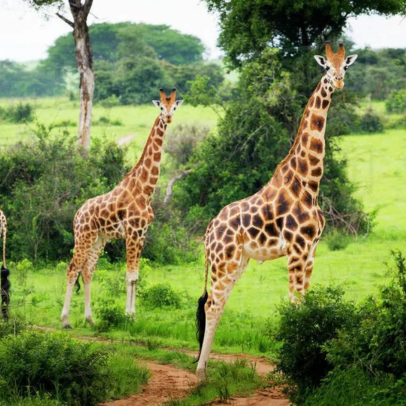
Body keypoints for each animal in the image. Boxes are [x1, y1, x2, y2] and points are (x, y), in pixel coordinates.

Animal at [61, 89, 183, 330]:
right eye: (161, 107)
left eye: (174, 107)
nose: (168, 118)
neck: (145, 189)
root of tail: (77, 214)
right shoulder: (132, 233)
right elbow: (129, 276)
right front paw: (128, 316)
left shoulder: (142, 234)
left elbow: (135, 276)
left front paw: (133, 315)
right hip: (83, 237)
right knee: (72, 270)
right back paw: (66, 320)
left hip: (98, 240)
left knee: (87, 272)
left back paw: (90, 319)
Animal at [195, 41, 356, 380]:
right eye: (326, 66)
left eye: (345, 66)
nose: (337, 81)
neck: (309, 183)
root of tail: (208, 231)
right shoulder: (296, 249)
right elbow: (294, 303)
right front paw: (294, 367)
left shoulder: (311, 251)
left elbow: (305, 304)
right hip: (223, 262)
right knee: (211, 305)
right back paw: (201, 371)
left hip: (238, 261)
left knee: (219, 303)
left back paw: (207, 366)